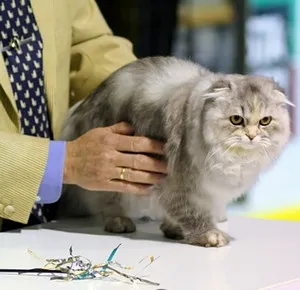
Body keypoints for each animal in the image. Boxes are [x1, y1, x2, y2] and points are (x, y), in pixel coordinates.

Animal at [56, 56, 292, 247]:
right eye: (236, 119)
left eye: (265, 121)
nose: (251, 136)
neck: (237, 160)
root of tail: (82, 105)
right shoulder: (178, 184)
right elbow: (192, 213)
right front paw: (209, 235)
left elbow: (176, 214)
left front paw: (173, 229)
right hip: (111, 176)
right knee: (106, 202)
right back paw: (119, 222)